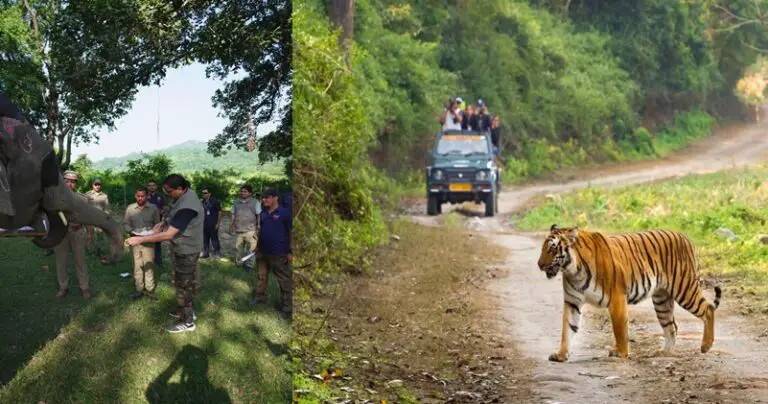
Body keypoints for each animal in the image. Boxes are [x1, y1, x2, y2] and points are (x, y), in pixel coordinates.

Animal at [536, 224, 724, 362]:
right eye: (543, 248)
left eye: (552, 248)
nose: (539, 265)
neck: (573, 270)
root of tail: (685, 237)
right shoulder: (572, 302)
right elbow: (567, 329)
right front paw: (561, 354)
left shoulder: (617, 297)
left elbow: (619, 328)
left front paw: (621, 353)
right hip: (662, 300)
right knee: (671, 327)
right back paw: (664, 353)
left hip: (684, 289)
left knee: (707, 309)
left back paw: (705, 346)